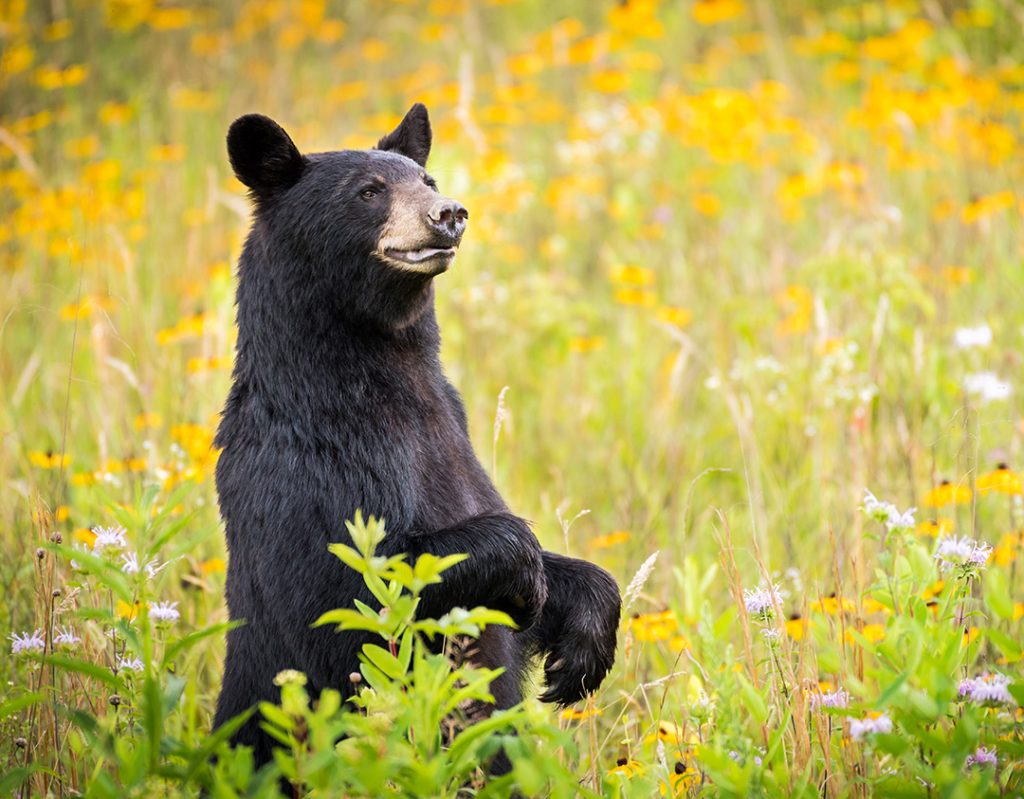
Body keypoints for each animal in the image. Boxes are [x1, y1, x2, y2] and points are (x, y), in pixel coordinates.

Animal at [212, 104, 622, 769]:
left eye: (426, 181)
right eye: (369, 191)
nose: (449, 212)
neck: (385, 380)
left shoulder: (452, 431)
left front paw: (582, 642)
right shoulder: (305, 471)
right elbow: (349, 590)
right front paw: (525, 568)